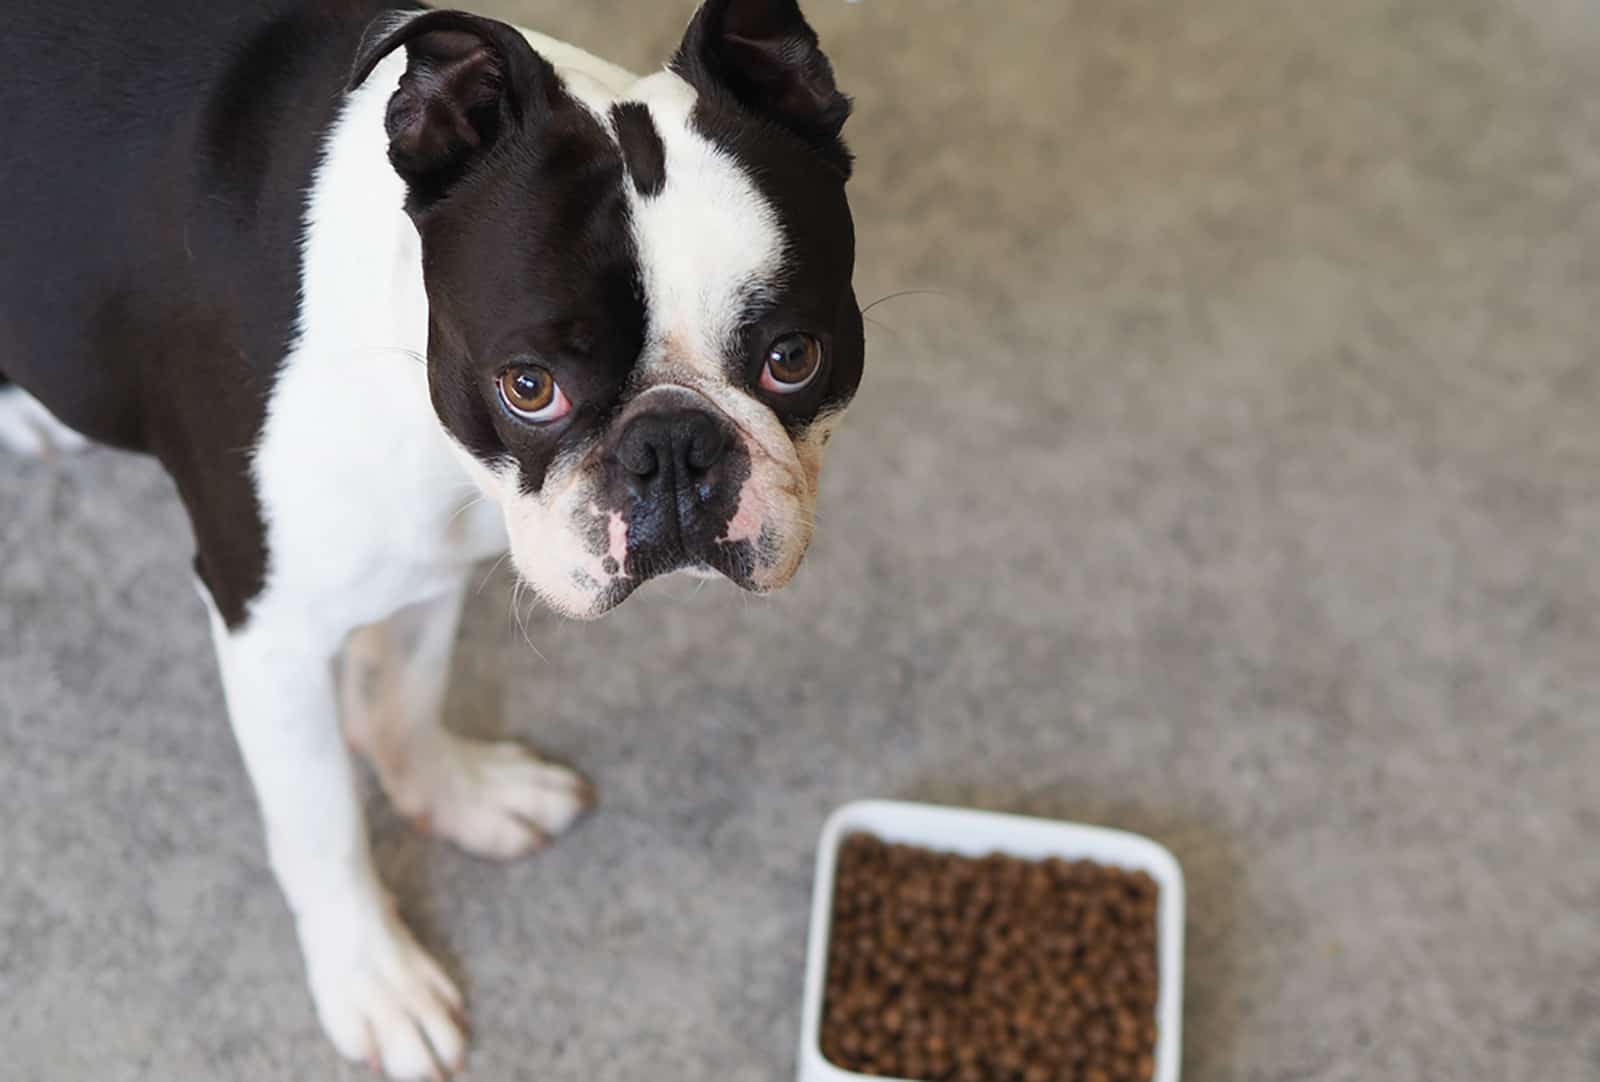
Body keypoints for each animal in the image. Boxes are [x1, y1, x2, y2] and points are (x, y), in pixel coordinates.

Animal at [0, 2, 864, 1075]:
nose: (672, 447)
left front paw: (457, 796)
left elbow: (406, 691)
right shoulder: (269, 629)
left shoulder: (429, 556)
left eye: (794, 358)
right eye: (529, 386)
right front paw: (373, 977)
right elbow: (320, 819)